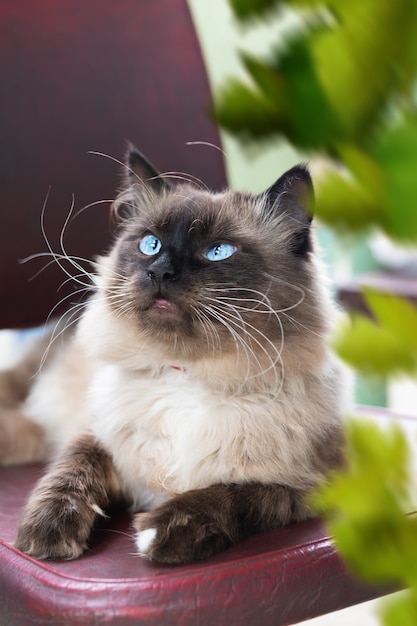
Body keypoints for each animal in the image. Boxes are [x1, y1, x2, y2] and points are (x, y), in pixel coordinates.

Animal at [0, 146, 348, 560]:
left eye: (218, 251)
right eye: (150, 244)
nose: (161, 271)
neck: (185, 373)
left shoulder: (308, 485)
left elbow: (233, 495)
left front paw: (158, 534)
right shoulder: (96, 435)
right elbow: (69, 474)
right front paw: (46, 536)